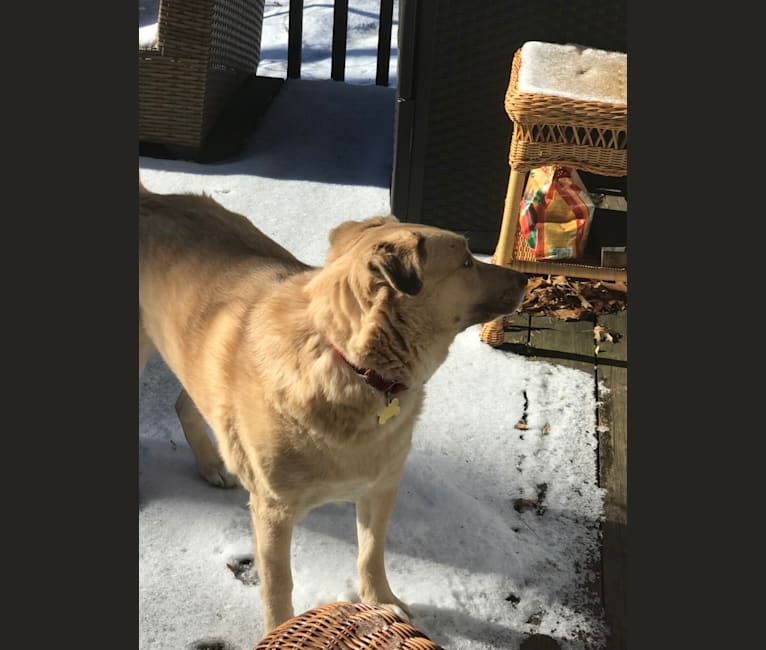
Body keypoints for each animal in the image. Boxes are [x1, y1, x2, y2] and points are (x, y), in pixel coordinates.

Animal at [140, 176, 528, 628]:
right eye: (466, 263)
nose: (524, 278)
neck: (351, 365)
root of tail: (149, 199)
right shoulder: (273, 513)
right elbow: (278, 586)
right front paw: (280, 629)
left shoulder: (381, 486)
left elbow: (371, 553)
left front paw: (380, 601)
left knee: (186, 404)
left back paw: (210, 464)